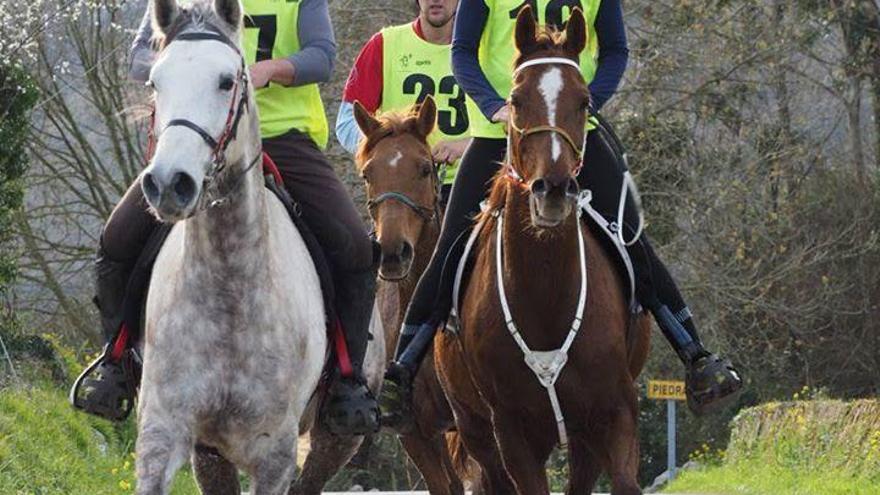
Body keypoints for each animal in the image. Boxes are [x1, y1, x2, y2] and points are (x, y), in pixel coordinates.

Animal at [434, 7, 648, 495]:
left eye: (585, 102)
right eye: (515, 100)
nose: (551, 190)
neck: (546, 296)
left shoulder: (615, 413)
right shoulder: (511, 433)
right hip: (476, 432)